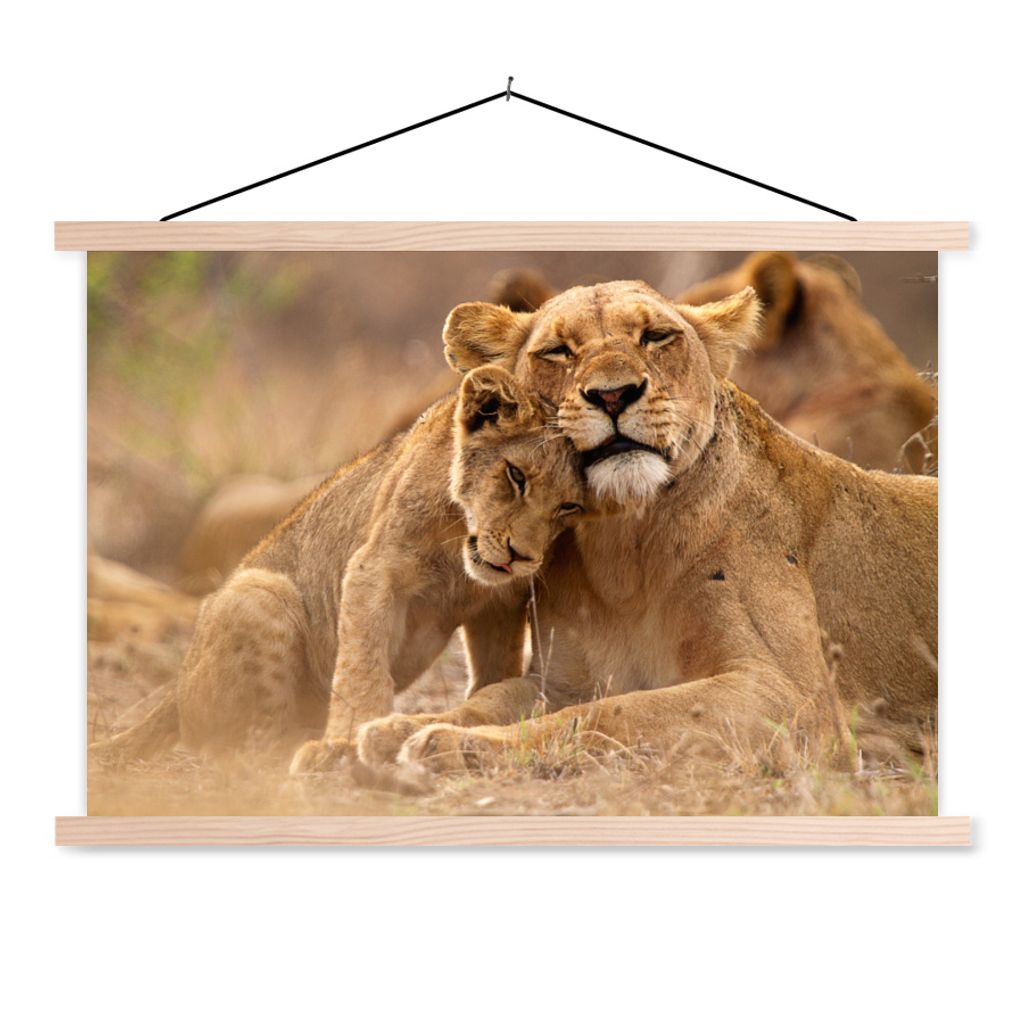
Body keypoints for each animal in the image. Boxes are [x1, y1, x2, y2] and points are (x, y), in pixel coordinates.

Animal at [90, 365, 585, 766]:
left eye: (569, 507)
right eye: (516, 476)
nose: (522, 556)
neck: (458, 545)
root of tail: (174, 692)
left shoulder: (500, 603)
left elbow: (494, 672)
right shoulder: (373, 570)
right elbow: (362, 668)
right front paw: (348, 740)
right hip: (260, 592)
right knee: (241, 748)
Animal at [357, 281, 936, 774]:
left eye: (655, 336)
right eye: (558, 351)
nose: (613, 395)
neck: (624, 547)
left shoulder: (795, 699)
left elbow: (614, 713)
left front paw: (452, 745)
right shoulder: (562, 680)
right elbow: (491, 697)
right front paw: (394, 729)